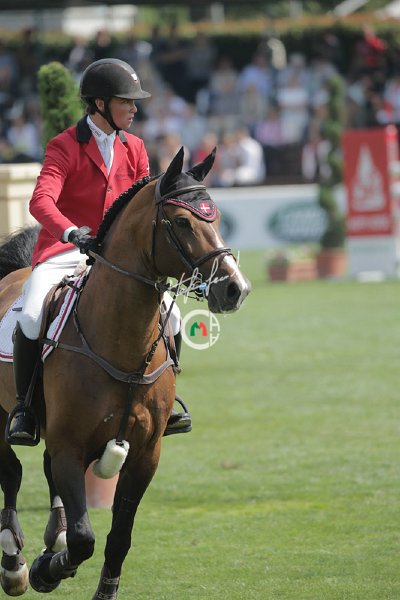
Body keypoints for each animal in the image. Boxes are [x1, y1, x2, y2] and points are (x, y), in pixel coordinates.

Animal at [0, 147, 250, 598]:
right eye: (182, 221)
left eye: (216, 216)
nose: (234, 289)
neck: (120, 342)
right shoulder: (70, 445)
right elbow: (84, 538)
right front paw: (49, 569)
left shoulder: (145, 454)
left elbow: (119, 537)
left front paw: (87, 577)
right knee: (11, 473)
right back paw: (15, 563)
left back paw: (51, 539)